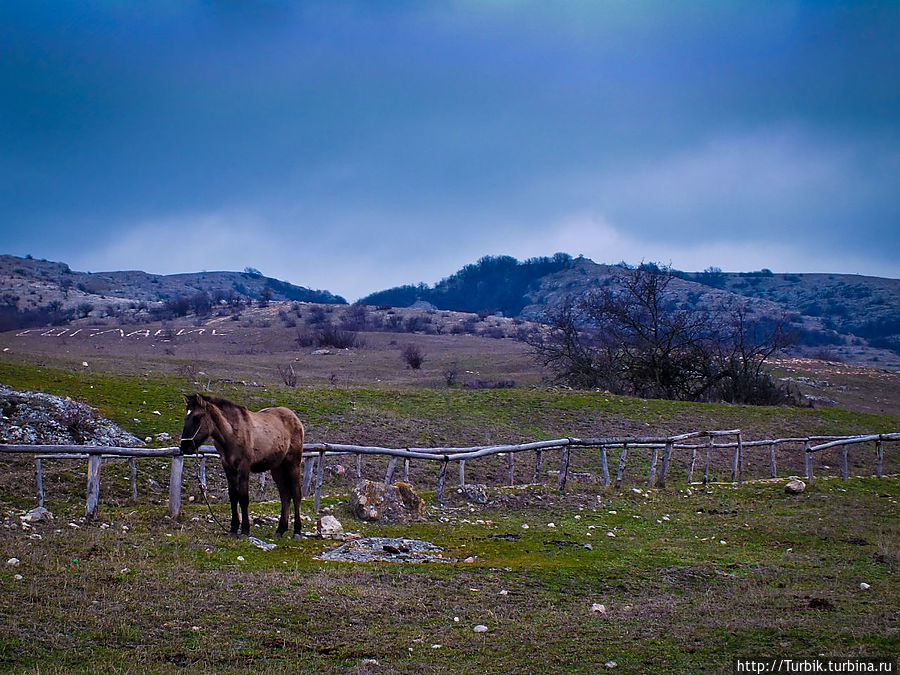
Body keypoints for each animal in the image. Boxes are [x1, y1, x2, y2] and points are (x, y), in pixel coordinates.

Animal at [179, 394, 306, 536]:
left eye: (197, 417)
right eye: (186, 417)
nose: (184, 447)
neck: (231, 433)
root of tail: (296, 419)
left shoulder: (244, 467)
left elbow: (244, 498)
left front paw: (245, 529)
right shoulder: (228, 467)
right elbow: (233, 496)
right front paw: (233, 528)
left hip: (293, 464)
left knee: (296, 494)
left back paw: (297, 530)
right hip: (277, 468)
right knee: (285, 495)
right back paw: (280, 529)